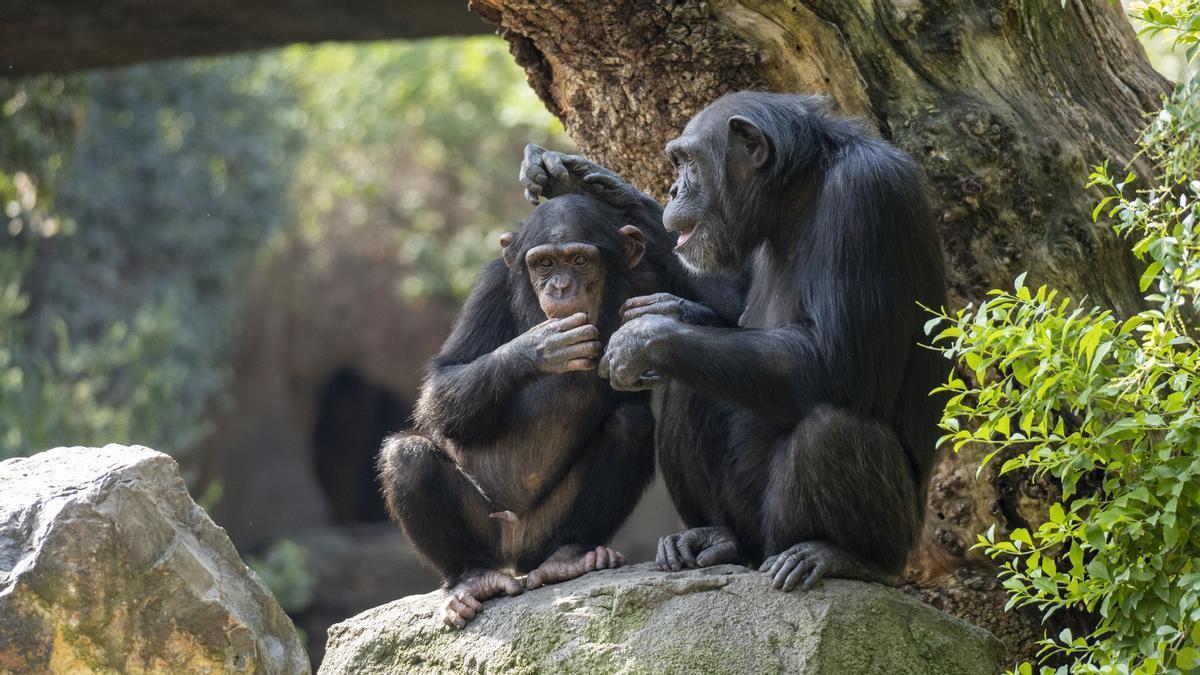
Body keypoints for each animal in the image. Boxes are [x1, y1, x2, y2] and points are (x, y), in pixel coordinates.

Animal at [376, 189, 729, 624]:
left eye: (578, 260)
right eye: (544, 263)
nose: (560, 286)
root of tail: (515, 557)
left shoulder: (652, 278)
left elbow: (736, 312)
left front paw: (668, 314)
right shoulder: (491, 287)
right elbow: (442, 384)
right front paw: (540, 346)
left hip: (543, 532)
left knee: (630, 424)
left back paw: (570, 557)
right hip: (490, 530)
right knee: (406, 454)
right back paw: (472, 578)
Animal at [523, 93, 945, 588]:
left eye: (689, 162)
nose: (673, 190)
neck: (796, 197)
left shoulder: (865, 195)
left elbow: (840, 359)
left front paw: (643, 337)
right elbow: (734, 302)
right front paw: (581, 182)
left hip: (877, 541)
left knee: (831, 430)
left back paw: (841, 555)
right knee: (692, 385)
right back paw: (716, 538)